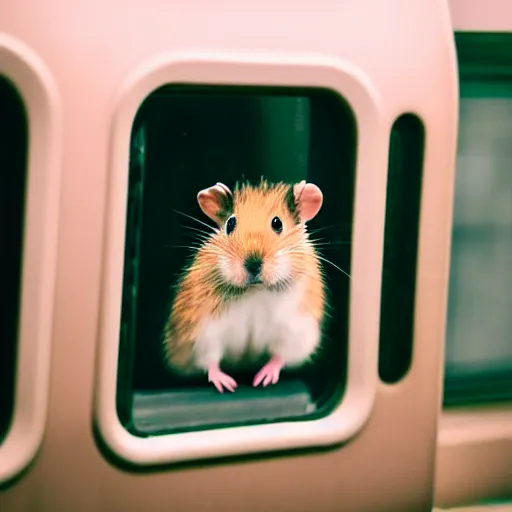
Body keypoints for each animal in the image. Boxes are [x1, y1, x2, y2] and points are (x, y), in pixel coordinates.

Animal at [162, 178, 326, 394]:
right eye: (230, 224)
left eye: (277, 223)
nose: (253, 264)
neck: (255, 290)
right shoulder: (201, 331)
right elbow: (210, 360)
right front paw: (227, 385)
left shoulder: (295, 330)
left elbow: (279, 356)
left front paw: (262, 380)